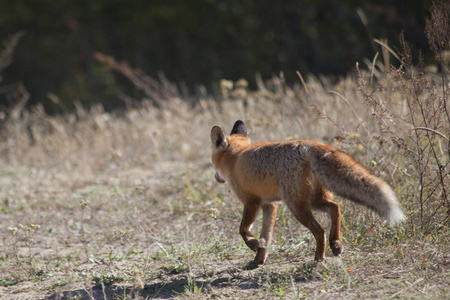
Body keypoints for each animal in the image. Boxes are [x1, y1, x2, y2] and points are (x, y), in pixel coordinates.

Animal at [209, 119, 406, 264]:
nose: (216, 177)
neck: (236, 158)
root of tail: (307, 145)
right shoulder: (269, 204)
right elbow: (266, 237)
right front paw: (259, 259)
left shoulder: (252, 202)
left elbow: (243, 229)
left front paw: (252, 244)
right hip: (313, 200)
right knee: (335, 207)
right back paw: (336, 244)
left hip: (296, 205)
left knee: (320, 231)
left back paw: (319, 258)